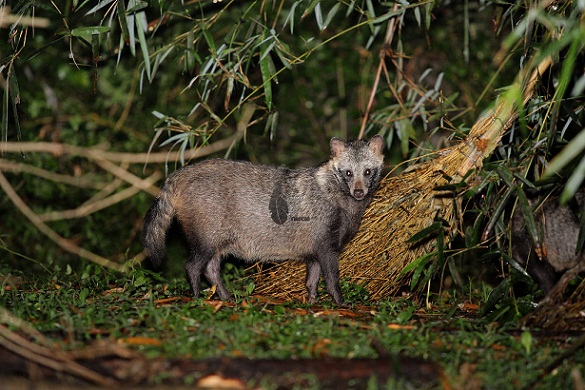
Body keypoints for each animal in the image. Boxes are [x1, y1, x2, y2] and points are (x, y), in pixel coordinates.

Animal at [143, 136, 384, 304]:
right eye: (348, 173)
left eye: (368, 171)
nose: (359, 192)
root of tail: (180, 173)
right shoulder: (326, 244)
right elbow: (332, 279)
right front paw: (340, 302)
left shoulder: (314, 248)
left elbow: (311, 280)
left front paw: (312, 302)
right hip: (206, 236)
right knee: (193, 266)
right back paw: (196, 296)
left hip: (217, 239)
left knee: (211, 269)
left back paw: (225, 297)